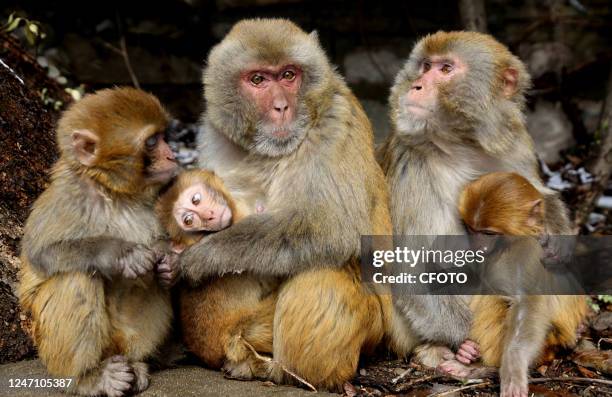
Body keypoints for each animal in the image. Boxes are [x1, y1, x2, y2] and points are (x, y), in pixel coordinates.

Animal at [18, 87, 179, 396]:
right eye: (153, 142)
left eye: (165, 137)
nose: (172, 155)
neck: (112, 192)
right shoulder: (67, 198)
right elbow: (42, 253)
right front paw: (120, 253)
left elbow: (162, 248)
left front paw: (169, 262)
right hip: (47, 346)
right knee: (77, 276)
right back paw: (88, 377)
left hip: (122, 338)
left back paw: (135, 363)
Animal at [182, 19, 392, 390]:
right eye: (258, 80)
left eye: (289, 75)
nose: (281, 107)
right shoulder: (211, 133)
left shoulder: (335, 123)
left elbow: (331, 228)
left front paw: (204, 256)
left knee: (323, 266)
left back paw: (288, 372)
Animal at [378, 30, 572, 366]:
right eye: (425, 66)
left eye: (445, 69)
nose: (416, 85)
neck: (464, 143)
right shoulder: (410, 161)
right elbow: (409, 269)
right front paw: (464, 339)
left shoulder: (516, 142)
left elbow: (537, 197)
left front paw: (557, 233)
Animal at [436, 172, 584, 396]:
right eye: (471, 229)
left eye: (489, 233)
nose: (478, 246)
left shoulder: (525, 253)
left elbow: (525, 302)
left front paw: (514, 366)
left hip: (549, 343)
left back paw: (479, 367)